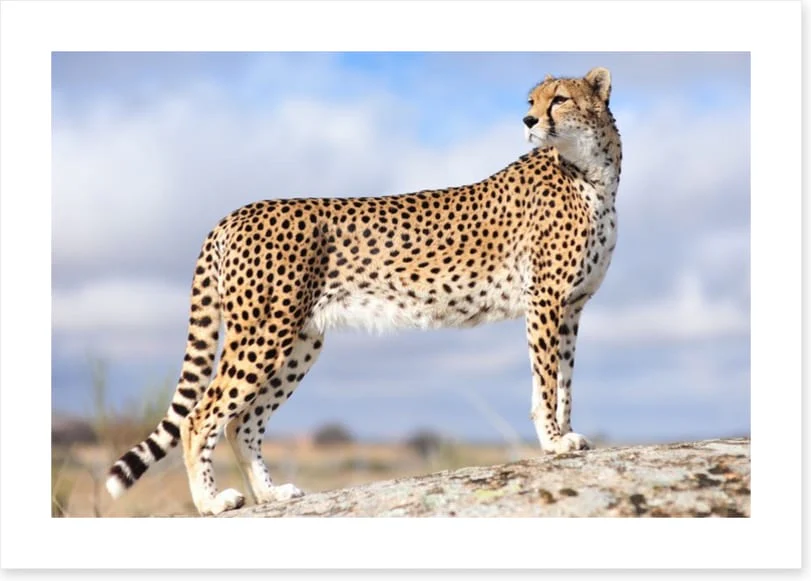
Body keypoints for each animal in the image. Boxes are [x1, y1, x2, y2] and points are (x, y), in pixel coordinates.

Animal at [105, 67, 622, 516]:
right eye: (531, 102)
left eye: (559, 99)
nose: (529, 122)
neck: (592, 171)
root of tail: (234, 214)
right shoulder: (545, 302)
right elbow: (546, 380)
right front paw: (553, 441)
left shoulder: (571, 307)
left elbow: (564, 380)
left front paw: (568, 436)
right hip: (264, 332)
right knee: (201, 416)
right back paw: (211, 503)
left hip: (300, 340)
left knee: (241, 421)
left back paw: (270, 495)